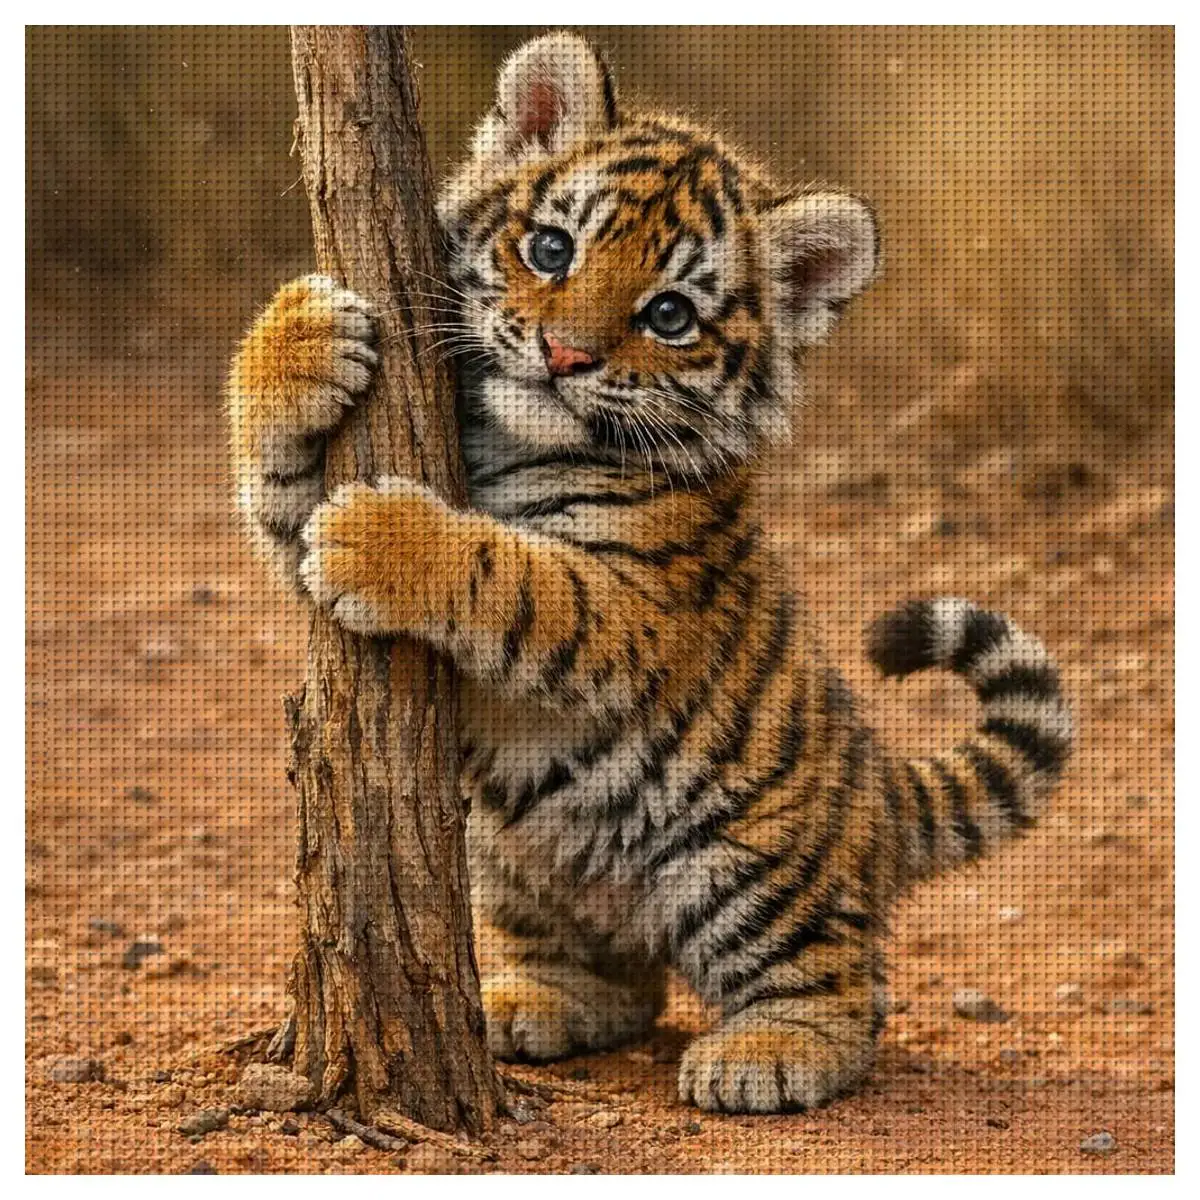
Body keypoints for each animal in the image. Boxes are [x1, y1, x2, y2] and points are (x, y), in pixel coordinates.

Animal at [226, 31, 1073, 1113]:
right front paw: (301, 332)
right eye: (552, 249)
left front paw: (381, 538)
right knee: (621, 982)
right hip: (508, 857)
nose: (562, 354)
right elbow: (278, 482)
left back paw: (770, 1052)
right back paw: (531, 1001)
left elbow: (514, 574)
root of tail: (876, 786)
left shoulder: (639, 605)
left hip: (750, 867)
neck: (514, 437)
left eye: (669, 314)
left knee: (845, 984)